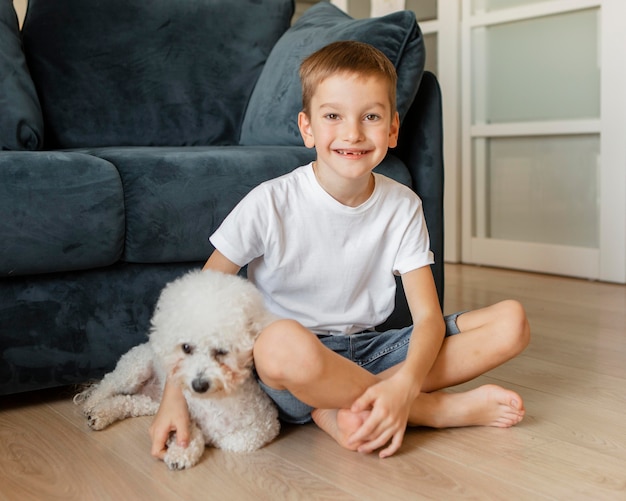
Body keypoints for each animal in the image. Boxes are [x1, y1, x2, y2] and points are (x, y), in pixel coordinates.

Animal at [74, 270, 280, 468]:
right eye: (186, 347)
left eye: (221, 351)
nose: (198, 385)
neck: (215, 401)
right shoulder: (178, 412)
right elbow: (190, 429)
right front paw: (182, 451)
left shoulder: (265, 426)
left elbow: (235, 441)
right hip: (133, 371)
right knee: (107, 384)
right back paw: (92, 405)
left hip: (154, 402)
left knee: (130, 402)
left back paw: (100, 414)